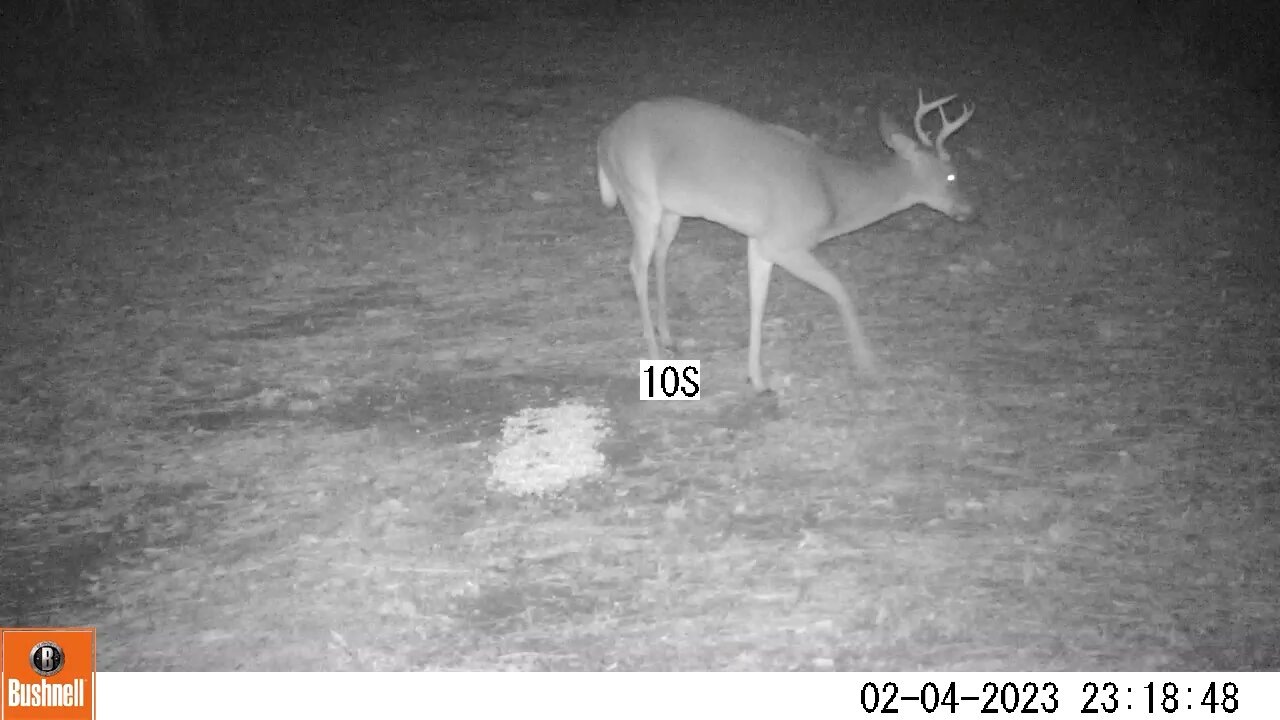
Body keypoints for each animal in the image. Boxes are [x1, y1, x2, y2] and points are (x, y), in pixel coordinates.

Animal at [596, 91, 976, 393]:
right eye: (951, 175)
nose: (970, 210)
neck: (832, 193)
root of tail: (605, 137)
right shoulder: (785, 242)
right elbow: (840, 289)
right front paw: (868, 364)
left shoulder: (760, 242)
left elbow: (757, 303)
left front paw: (757, 379)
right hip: (640, 197)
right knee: (636, 265)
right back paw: (654, 353)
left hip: (673, 210)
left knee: (660, 255)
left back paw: (668, 337)